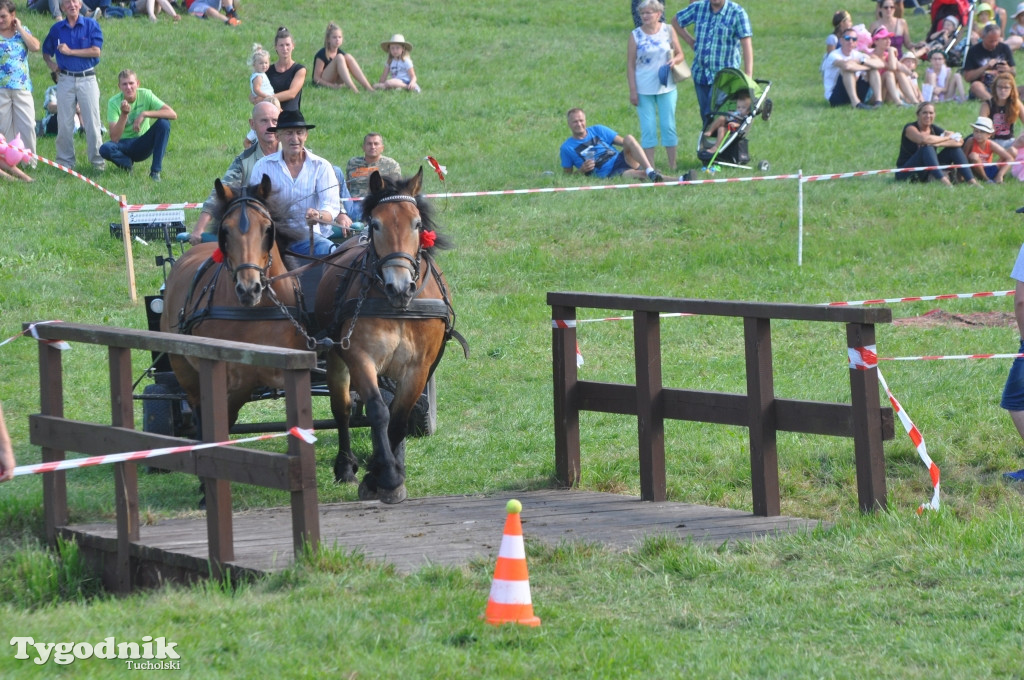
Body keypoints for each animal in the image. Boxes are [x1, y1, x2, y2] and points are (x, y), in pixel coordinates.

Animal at [159, 175, 309, 430]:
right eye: (225, 231)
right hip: (184, 369)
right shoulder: (229, 383)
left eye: (267, 229)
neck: (256, 313)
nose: (249, 288)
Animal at [309, 166, 458, 501]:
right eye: (376, 224)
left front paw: (391, 472)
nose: (400, 286)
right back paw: (345, 467)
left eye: (417, 224)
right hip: (336, 358)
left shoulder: (419, 366)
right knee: (343, 409)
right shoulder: (360, 356)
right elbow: (378, 412)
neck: (399, 308)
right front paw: (383, 476)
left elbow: (399, 419)